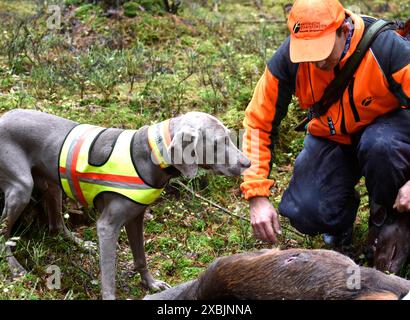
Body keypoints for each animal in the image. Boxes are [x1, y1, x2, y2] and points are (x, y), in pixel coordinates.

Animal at [0, 109, 250, 298]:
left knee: (56, 226)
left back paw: (80, 243)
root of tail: (4, 116)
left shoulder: (136, 217)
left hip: (52, 183)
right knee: (5, 233)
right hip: (21, 188)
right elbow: (108, 276)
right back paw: (14, 267)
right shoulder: (107, 226)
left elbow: (140, 257)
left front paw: (151, 283)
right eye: (219, 142)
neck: (151, 153)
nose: (247, 163)